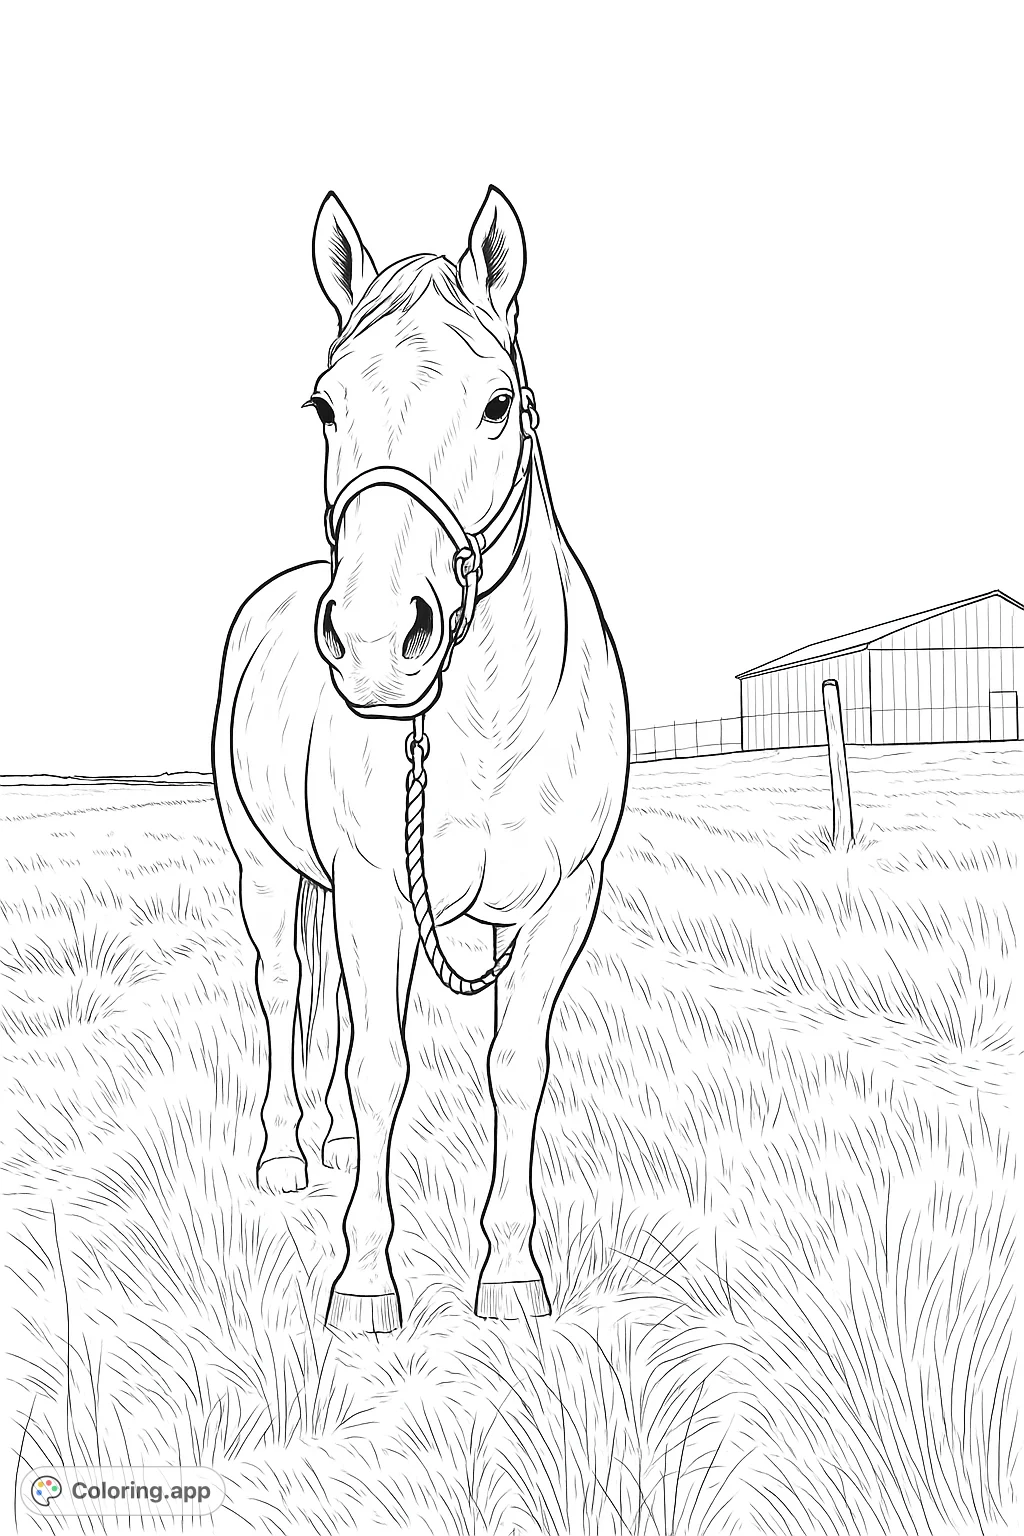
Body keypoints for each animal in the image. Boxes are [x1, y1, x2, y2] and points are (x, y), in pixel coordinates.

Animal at [212, 186, 629, 1333]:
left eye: (497, 404)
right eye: (324, 406)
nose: (371, 640)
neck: (484, 728)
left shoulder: (559, 903)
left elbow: (515, 1065)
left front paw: (511, 1274)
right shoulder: (371, 892)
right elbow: (380, 1066)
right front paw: (364, 1282)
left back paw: (326, 1143)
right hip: (268, 871)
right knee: (283, 987)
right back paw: (286, 1153)